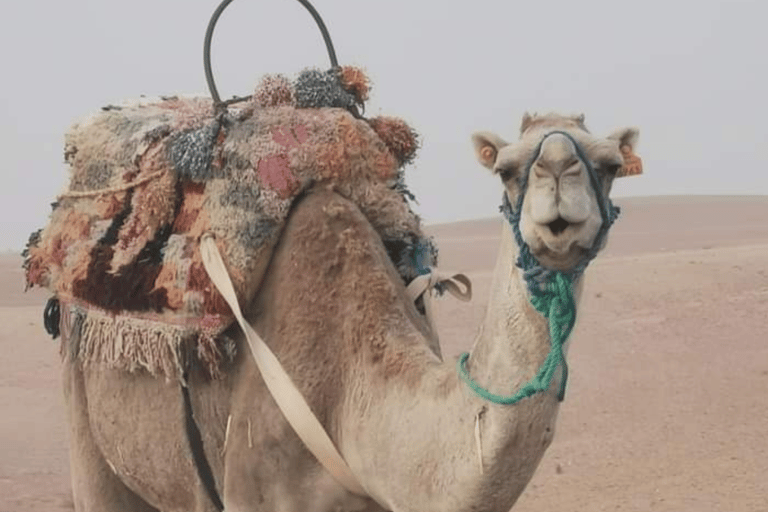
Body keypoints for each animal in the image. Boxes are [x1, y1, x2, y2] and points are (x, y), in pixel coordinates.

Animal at [60, 113, 640, 512]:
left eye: (611, 166)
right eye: (506, 170)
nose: (559, 170)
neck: (349, 391)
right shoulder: (252, 485)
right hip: (86, 420)